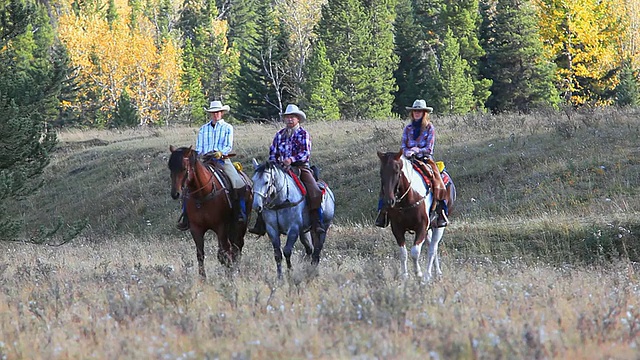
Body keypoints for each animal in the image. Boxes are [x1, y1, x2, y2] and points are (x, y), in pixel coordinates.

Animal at [169, 146, 254, 278]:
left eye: (184, 168)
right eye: (170, 168)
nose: (175, 193)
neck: (202, 195)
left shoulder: (221, 227)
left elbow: (223, 253)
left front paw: (229, 274)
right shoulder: (196, 229)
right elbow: (200, 255)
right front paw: (203, 278)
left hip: (241, 224)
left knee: (237, 246)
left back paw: (235, 270)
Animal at [376, 150, 456, 280]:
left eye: (396, 171)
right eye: (381, 172)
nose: (389, 201)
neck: (409, 198)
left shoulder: (421, 227)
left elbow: (415, 252)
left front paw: (419, 274)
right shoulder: (397, 228)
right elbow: (403, 253)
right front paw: (404, 276)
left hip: (439, 225)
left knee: (432, 248)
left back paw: (428, 275)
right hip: (429, 228)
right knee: (431, 246)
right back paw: (436, 272)